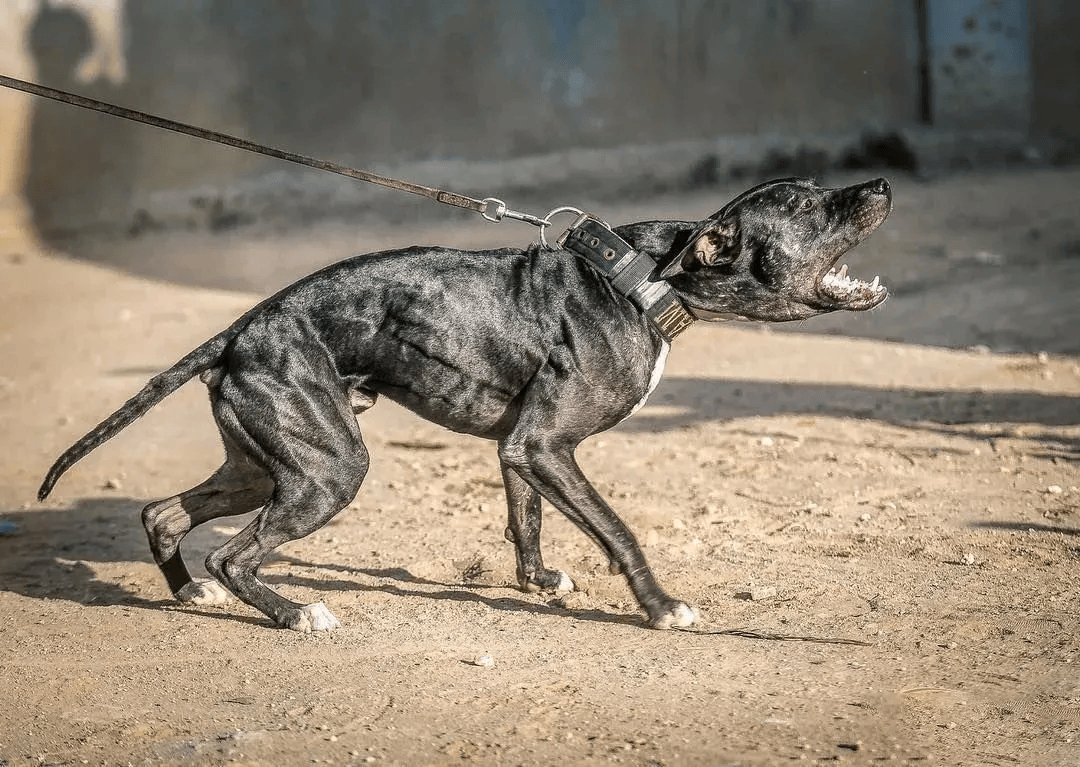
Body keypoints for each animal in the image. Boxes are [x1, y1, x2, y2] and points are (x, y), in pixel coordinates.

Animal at [38, 177, 889, 635]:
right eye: (804, 205)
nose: (880, 185)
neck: (646, 278)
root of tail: (239, 330)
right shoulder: (546, 445)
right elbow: (618, 530)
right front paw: (659, 605)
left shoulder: (522, 449)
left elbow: (526, 518)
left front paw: (537, 582)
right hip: (327, 471)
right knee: (233, 551)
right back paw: (293, 613)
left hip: (266, 465)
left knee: (164, 513)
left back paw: (193, 592)